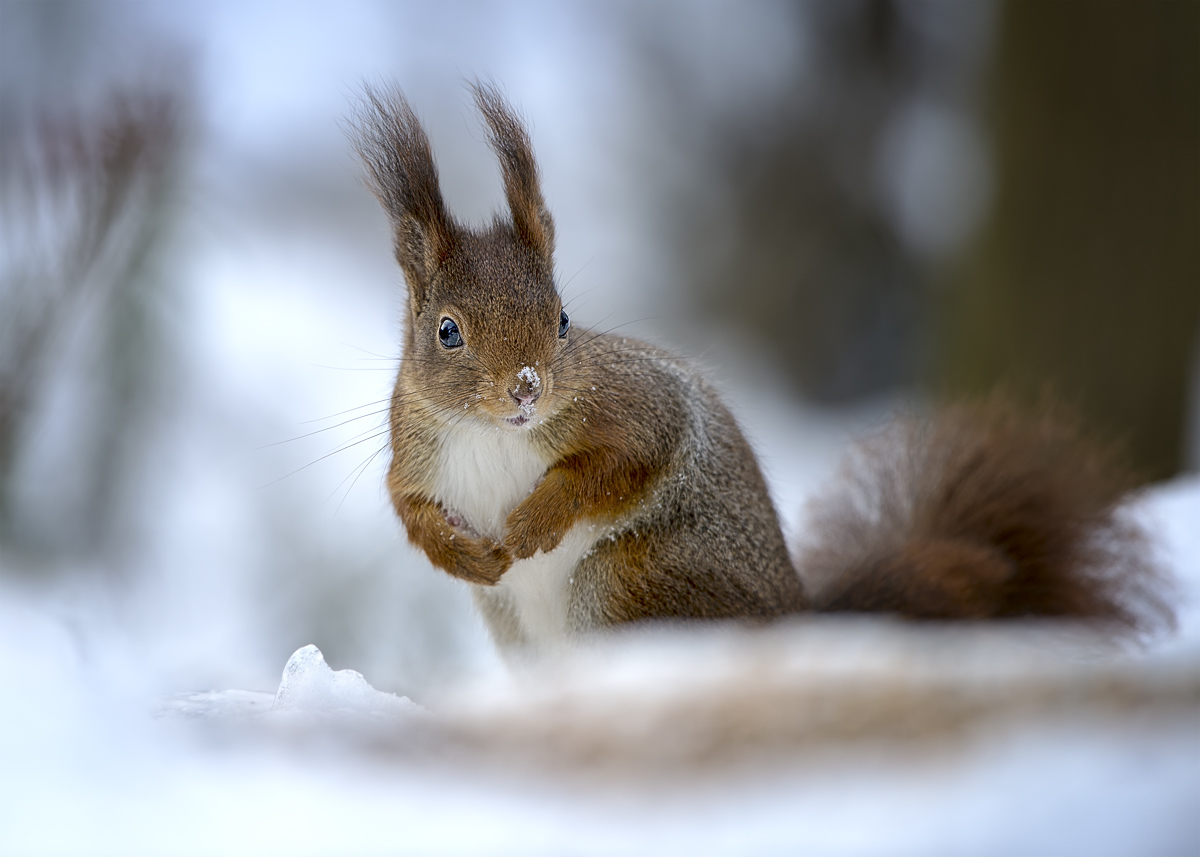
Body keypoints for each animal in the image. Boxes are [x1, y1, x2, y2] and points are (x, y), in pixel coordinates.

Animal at [348, 81, 1171, 652]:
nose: (526, 391)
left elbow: (624, 460)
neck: (493, 434)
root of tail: (800, 620)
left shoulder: (633, 406)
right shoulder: (415, 454)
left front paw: (531, 522)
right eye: (447, 332)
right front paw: (462, 553)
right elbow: (407, 509)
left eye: (563, 321)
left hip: (631, 584)